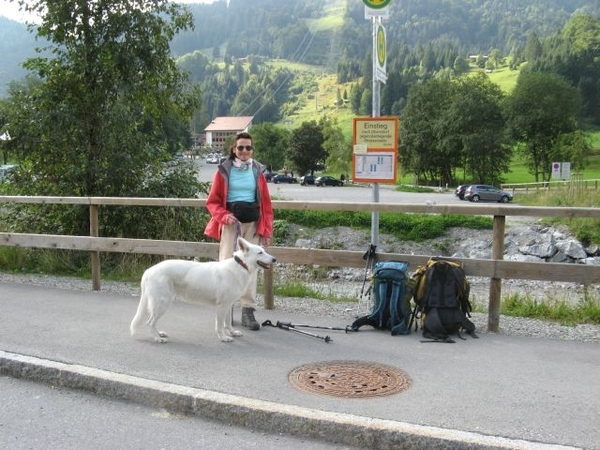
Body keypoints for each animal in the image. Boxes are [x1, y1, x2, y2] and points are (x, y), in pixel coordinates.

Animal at [130, 237, 276, 342]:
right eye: (260, 252)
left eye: (264, 250)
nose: (274, 259)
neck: (241, 266)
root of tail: (148, 271)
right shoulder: (221, 307)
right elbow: (220, 325)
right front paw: (223, 338)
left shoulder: (228, 305)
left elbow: (228, 323)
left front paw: (232, 333)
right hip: (162, 304)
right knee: (149, 323)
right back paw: (157, 338)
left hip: (163, 303)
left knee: (152, 322)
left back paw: (159, 333)